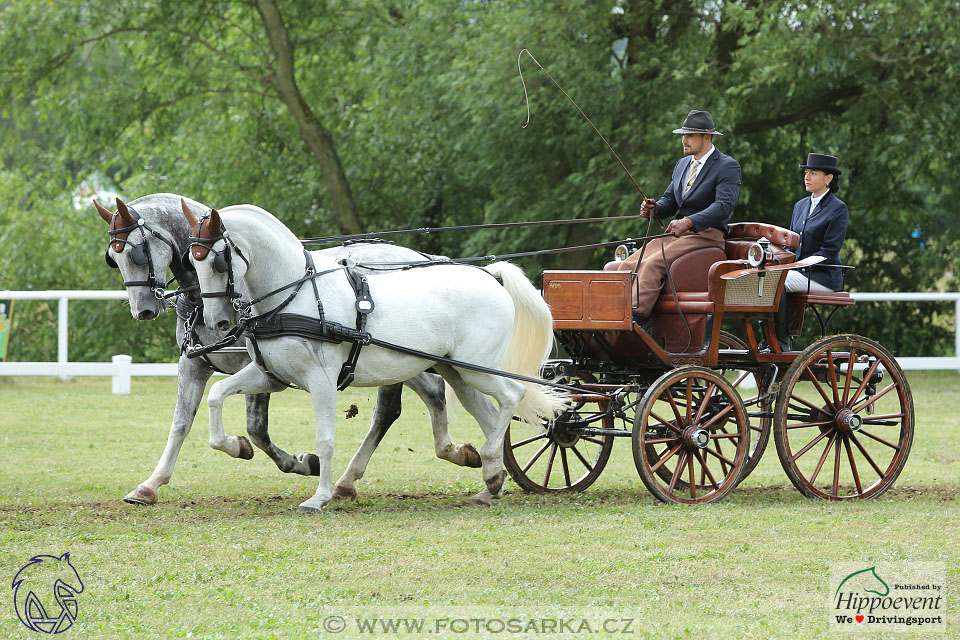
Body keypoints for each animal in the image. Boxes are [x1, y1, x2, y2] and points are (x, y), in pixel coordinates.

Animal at [95, 195, 478, 504]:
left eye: (136, 251)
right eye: (112, 258)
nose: (143, 309)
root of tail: (420, 256)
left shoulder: (260, 366)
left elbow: (256, 429)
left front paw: (296, 461)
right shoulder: (195, 365)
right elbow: (181, 423)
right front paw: (150, 485)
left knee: (402, 405)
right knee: (421, 397)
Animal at [184, 200, 568, 510]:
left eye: (219, 262)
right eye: (192, 260)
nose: (216, 321)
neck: (295, 294)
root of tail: (490, 275)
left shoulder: (321, 380)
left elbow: (326, 439)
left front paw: (319, 497)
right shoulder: (270, 376)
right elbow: (216, 395)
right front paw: (234, 445)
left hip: (479, 369)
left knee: (513, 395)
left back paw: (489, 468)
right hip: (457, 372)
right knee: (490, 417)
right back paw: (490, 482)